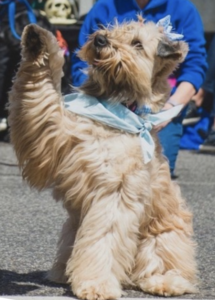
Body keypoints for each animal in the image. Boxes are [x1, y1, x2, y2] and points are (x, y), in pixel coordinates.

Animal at [9, 19, 197, 300]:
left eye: (137, 43)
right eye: (111, 27)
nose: (100, 40)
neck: (117, 111)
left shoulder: (116, 191)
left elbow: (104, 239)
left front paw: (96, 285)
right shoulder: (52, 135)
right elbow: (40, 95)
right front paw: (38, 41)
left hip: (163, 234)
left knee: (164, 264)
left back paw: (163, 281)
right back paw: (61, 273)